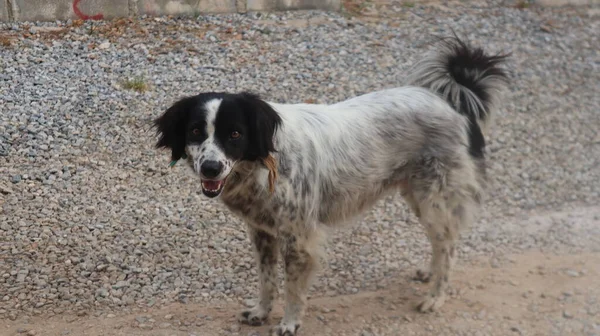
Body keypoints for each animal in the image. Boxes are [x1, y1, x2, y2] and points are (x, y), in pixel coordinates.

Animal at [154, 38, 506, 334]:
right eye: (196, 131)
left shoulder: (299, 238)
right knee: (440, 241)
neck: (265, 163)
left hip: (434, 197)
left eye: (235, 134)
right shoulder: (262, 231)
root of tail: (454, 104)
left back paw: (436, 296)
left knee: (449, 245)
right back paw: (428, 275)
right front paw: (261, 312)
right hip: (417, 195)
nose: (210, 168)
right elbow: (267, 280)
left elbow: (293, 288)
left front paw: (289, 323)